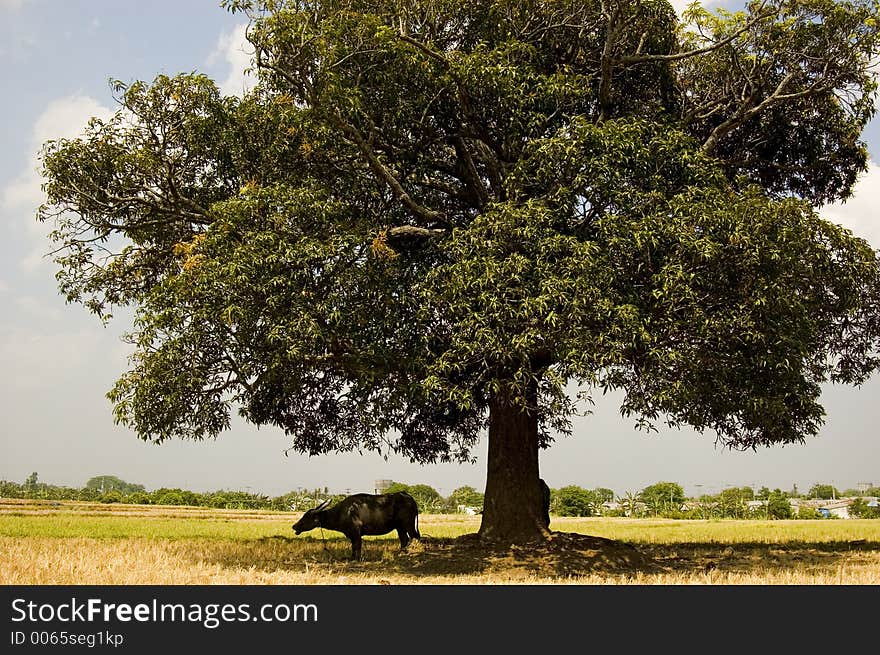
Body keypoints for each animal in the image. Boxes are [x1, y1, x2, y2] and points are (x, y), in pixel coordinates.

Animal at [292, 490, 422, 560]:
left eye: (306, 517)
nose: (294, 526)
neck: (342, 512)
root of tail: (408, 497)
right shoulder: (351, 534)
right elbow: (353, 547)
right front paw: (352, 557)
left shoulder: (356, 532)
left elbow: (357, 546)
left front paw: (356, 559)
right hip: (400, 527)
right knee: (404, 539)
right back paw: (401, 554)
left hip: (409, 524)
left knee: (415, 537)